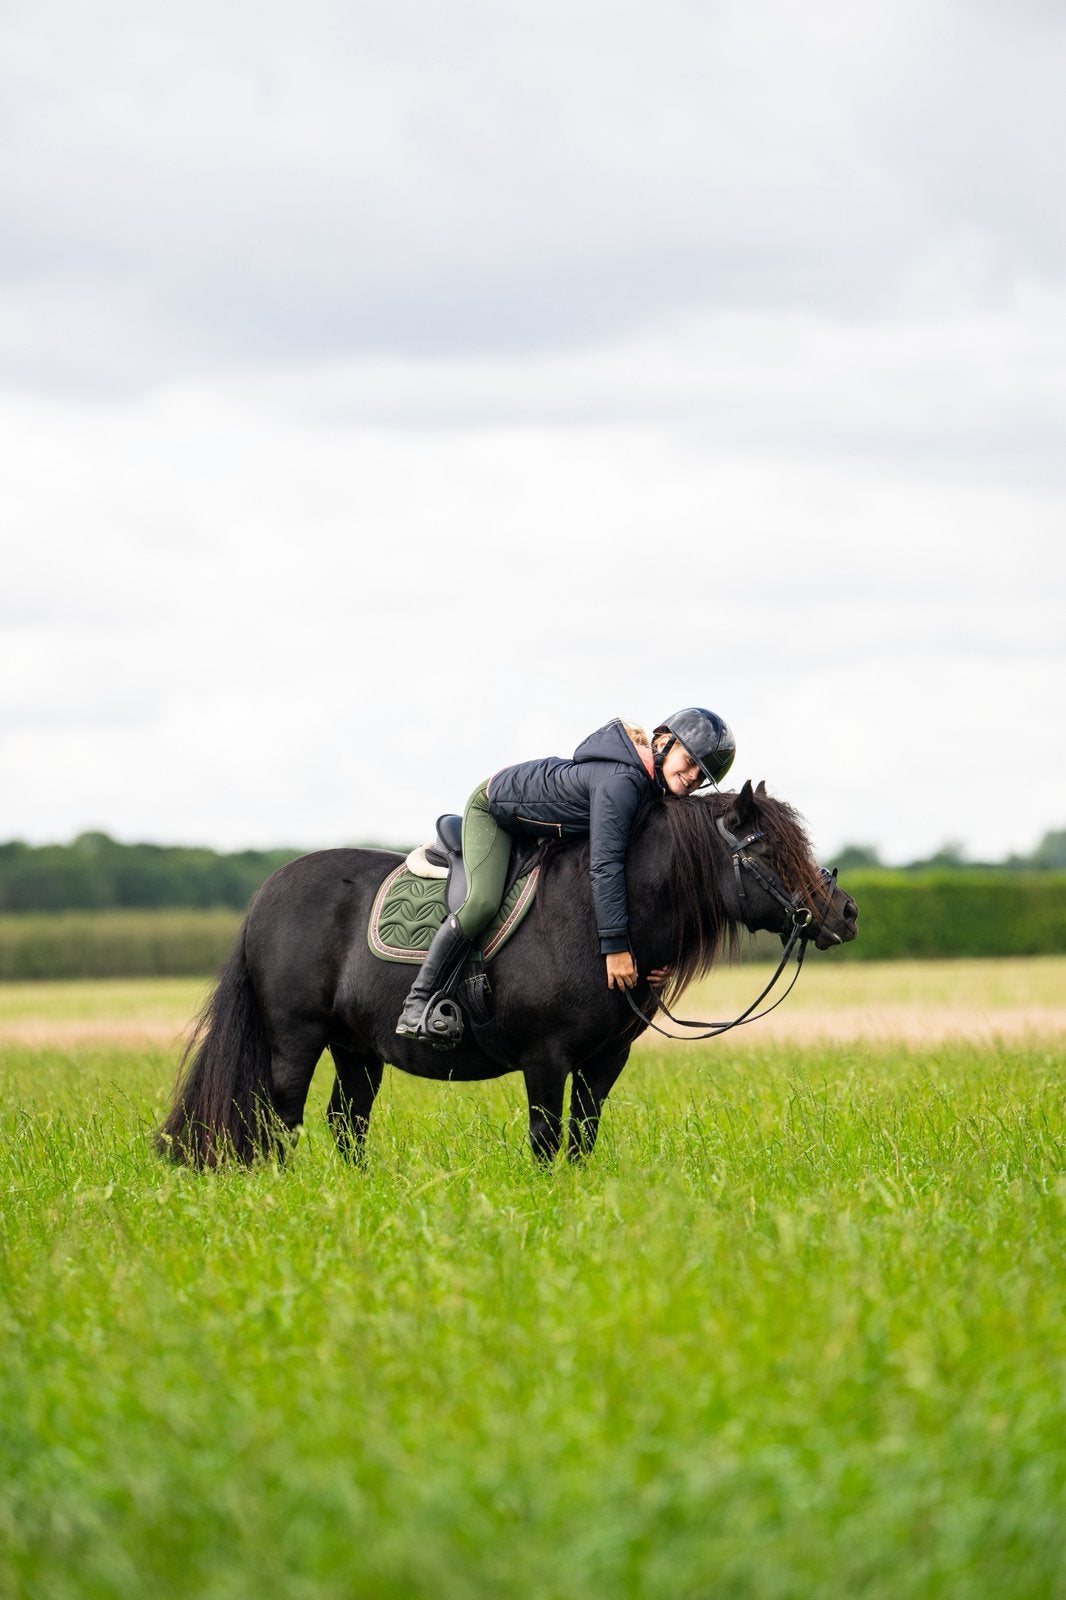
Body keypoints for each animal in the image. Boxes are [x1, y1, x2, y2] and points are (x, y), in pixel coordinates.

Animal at [157, 779, 858, 1168]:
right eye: (770, 849)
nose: (845, 913)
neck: (597, 911)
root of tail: (266, 895)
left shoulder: (604, 1061)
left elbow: (581, 1139)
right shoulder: (545, 1058)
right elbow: (546, 1142)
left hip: (356, 1048)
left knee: (345, 1123)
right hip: (295, 1040)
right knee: (279, 1119)